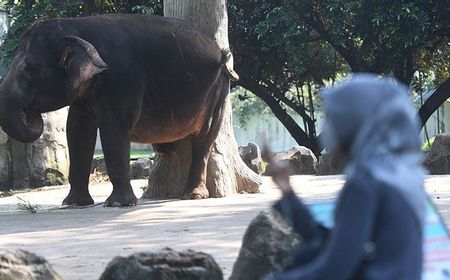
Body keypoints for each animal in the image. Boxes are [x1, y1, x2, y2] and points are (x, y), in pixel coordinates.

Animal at [0, 14, 239, 208]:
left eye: (29, 71)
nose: (30, 113)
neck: (75, 26)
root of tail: (220, 50)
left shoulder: (122, 78)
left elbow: (113, 130)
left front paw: (117, 204)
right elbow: (77, 131)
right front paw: (73, 204)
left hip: (219, 87)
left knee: (205, 138)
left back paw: (193, 195)